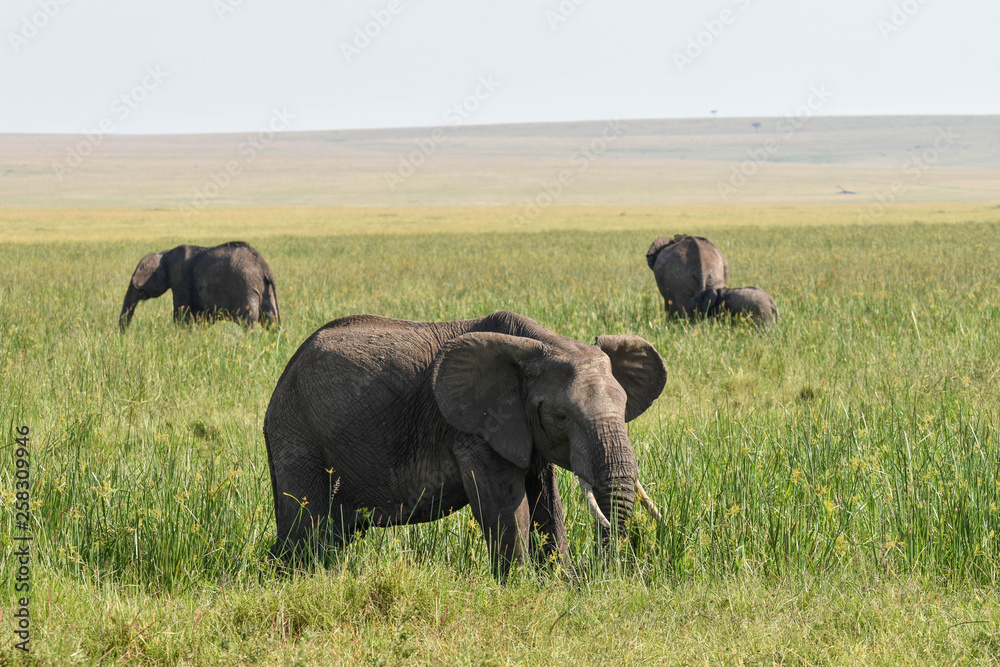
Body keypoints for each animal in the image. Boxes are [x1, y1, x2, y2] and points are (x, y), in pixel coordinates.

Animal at [119, 241, 280, 331]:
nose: (123, 336)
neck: (164, 254)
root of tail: (262, 263)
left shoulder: (180, 279)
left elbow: (181, 313)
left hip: (245, 285)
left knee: (249, 321)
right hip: (265, 288)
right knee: (271, 320)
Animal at [263, 310, 668, 576]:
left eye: (624, 406)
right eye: (561, 416)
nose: (602, 570)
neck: (544, 345)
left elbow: (546, 499)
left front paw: (559, 582)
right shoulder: (474, 429)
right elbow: (507, 505)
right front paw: (520, 587)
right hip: (298, 434)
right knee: (306, 528)